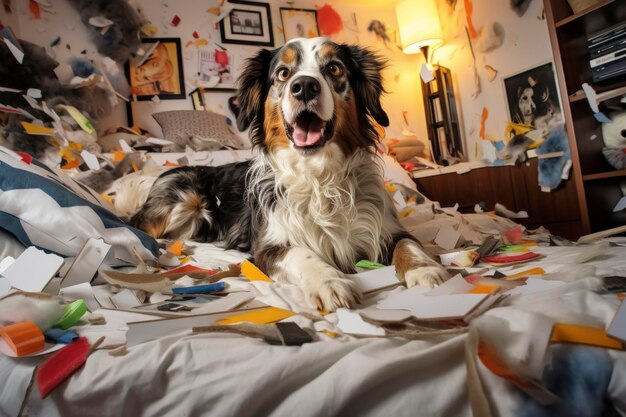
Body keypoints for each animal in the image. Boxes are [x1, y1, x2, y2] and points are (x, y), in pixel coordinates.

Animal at [118, 39, 448, 310]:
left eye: (334, 68)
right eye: (283, 73)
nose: (304, 86)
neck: (318, 177)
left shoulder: (387, 229)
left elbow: (410, 245)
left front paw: (427, 270)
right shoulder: (268, 246)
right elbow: (301, 253)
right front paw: (329, 282)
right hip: (185, 198)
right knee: (136, 225)